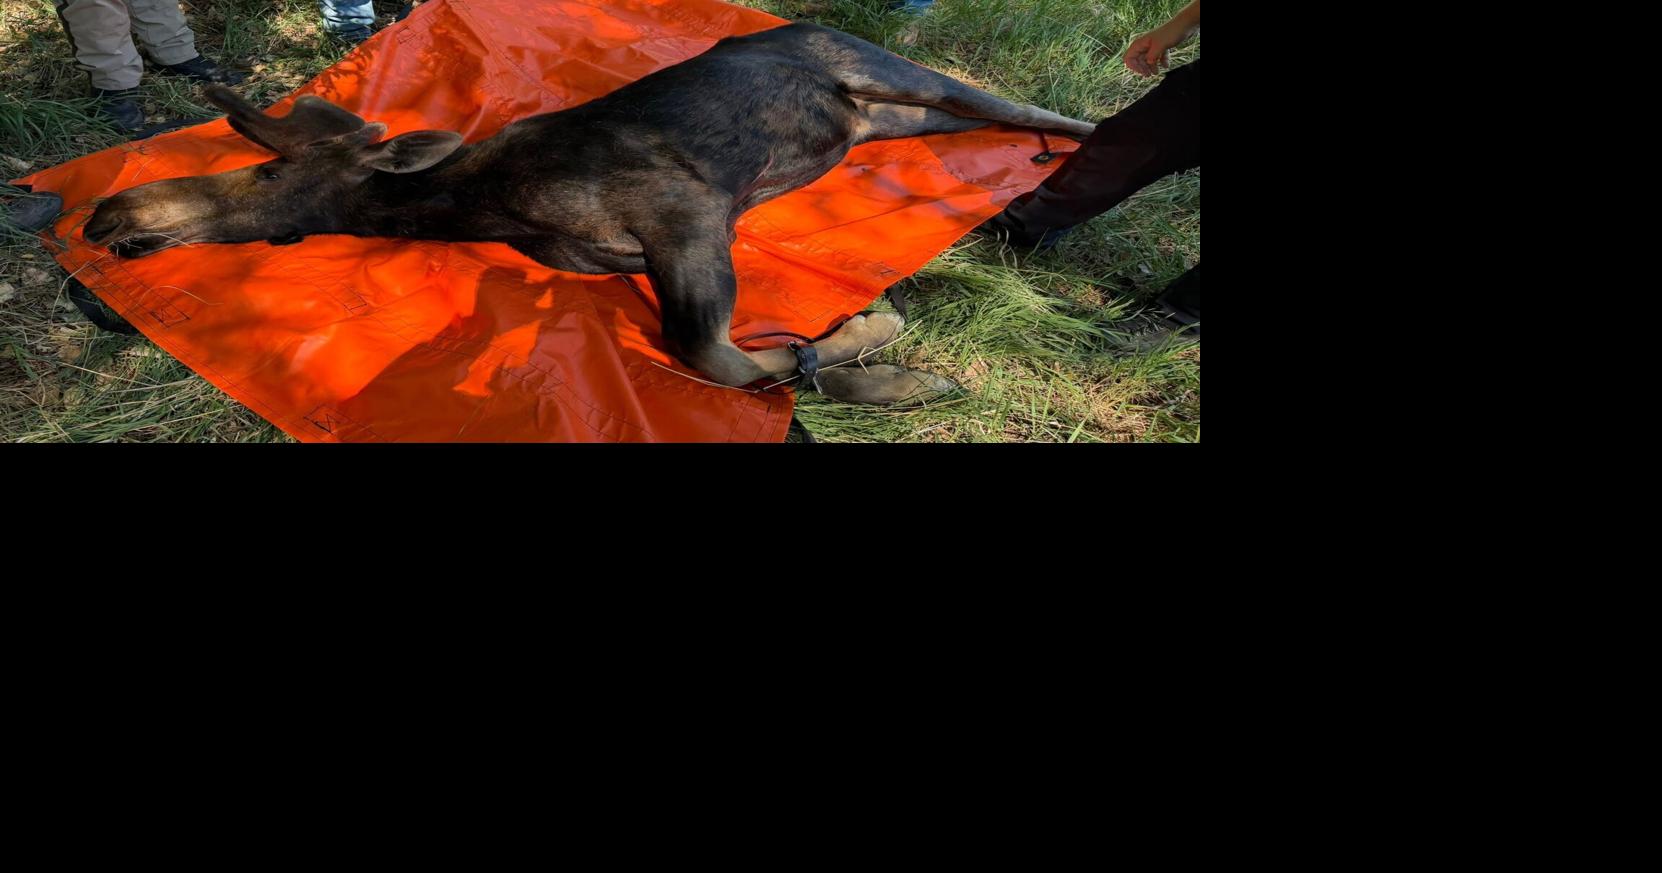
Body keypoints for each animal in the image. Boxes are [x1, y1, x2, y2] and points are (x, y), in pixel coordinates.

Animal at [83, 22, 1094, 404]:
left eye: (267, 172)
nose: (103, 215)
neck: (485, 204)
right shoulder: (631, 258)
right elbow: (742, 361)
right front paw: (876, 364)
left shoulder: (689, 213)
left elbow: (717, 356)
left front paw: (882, 348)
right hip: (877, 120)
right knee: (978, 117)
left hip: (885, 70)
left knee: (1011, 102)